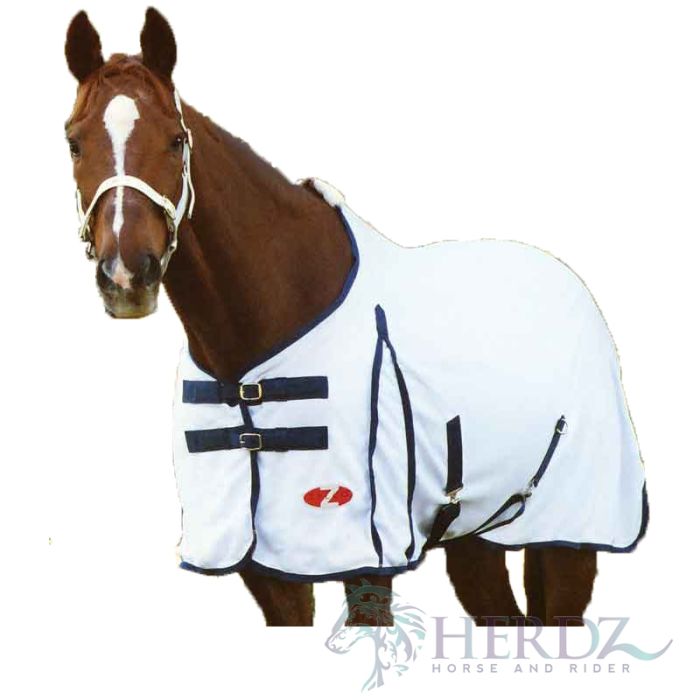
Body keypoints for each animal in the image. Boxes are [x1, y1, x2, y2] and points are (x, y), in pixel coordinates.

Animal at [63, 7, 608, 627]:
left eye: (176, 140)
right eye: (74, 142)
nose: (127, 275)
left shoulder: (365, 555)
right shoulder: (266, 568)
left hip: (568, 537)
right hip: (476, 534)